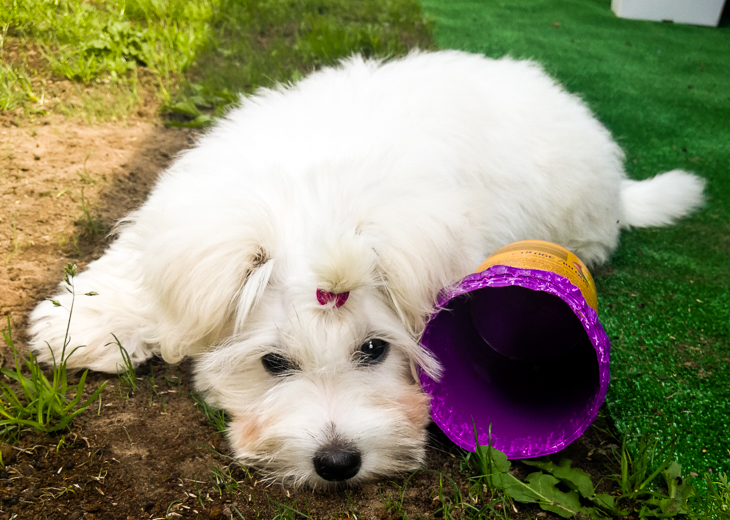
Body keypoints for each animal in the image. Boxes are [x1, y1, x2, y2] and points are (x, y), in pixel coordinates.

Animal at [27, 49, 700, 488]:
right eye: (273, 363)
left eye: (374, 350)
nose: (337, 462)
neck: (314, 198)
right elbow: (140, 267)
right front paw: (81, 321)